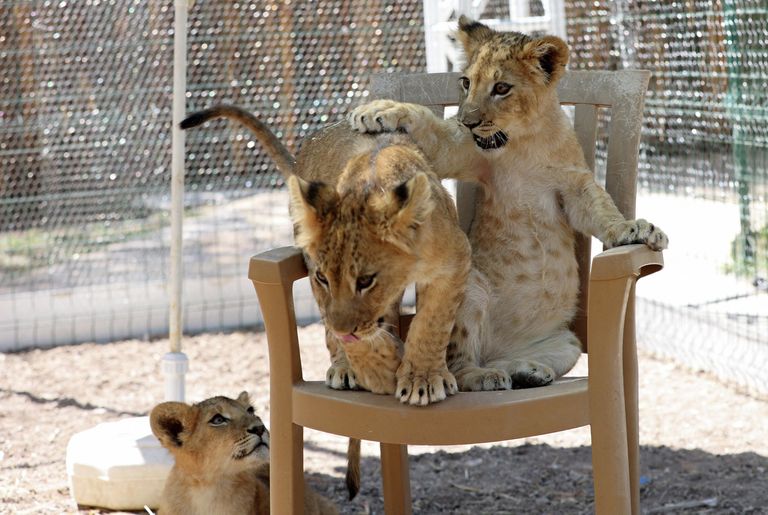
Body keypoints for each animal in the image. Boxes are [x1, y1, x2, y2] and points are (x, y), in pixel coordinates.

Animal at [181, 106, 470, 406]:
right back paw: (346, 367)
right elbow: (349, 332)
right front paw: (377, 370)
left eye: (366, 280)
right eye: (323, 278)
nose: (345, 330)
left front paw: (421, 379)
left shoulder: (454, 261)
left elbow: (432, 324)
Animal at [349, 16, 668, 391]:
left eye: (501, 88)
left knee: (506, 361)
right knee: (456, 364)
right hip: (471, 290)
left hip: (568, 341)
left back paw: (526, 371)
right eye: (466, 82)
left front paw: (635, 229)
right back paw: (484, 376)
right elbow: (429, 125)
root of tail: (497, 351)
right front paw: (380, 110)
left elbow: (601, 210)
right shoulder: (462, 152)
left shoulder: (574, 184)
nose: (468, 121)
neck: (526, 138)